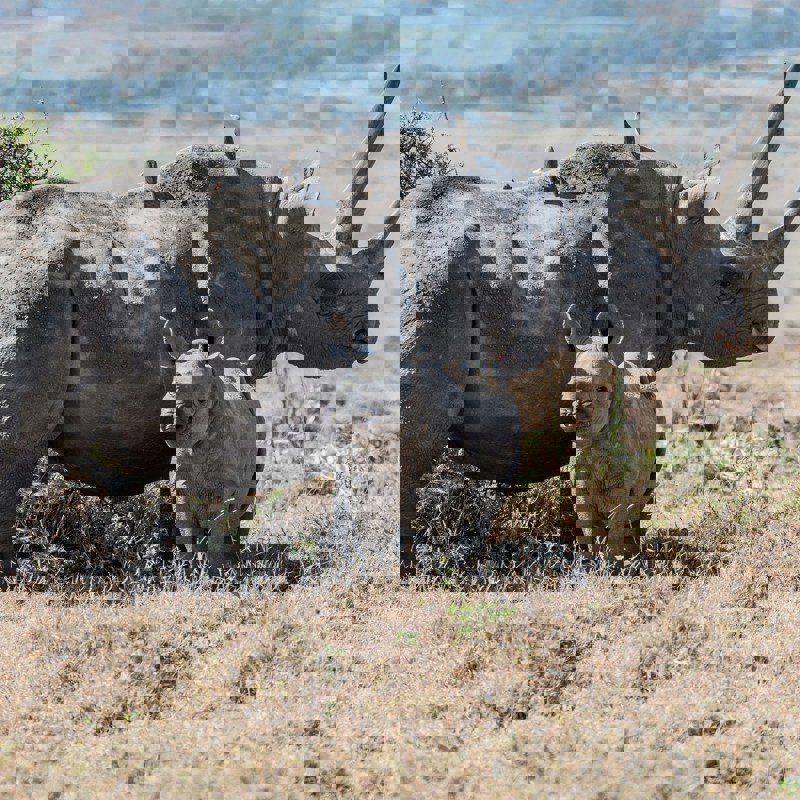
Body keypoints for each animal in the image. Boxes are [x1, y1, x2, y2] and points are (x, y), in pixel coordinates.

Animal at [0, 66, 401, 577]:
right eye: (327, 289)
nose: (362, 340)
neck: (274, 251)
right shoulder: (223, 360)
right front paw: (214, 562)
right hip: (32, 294)